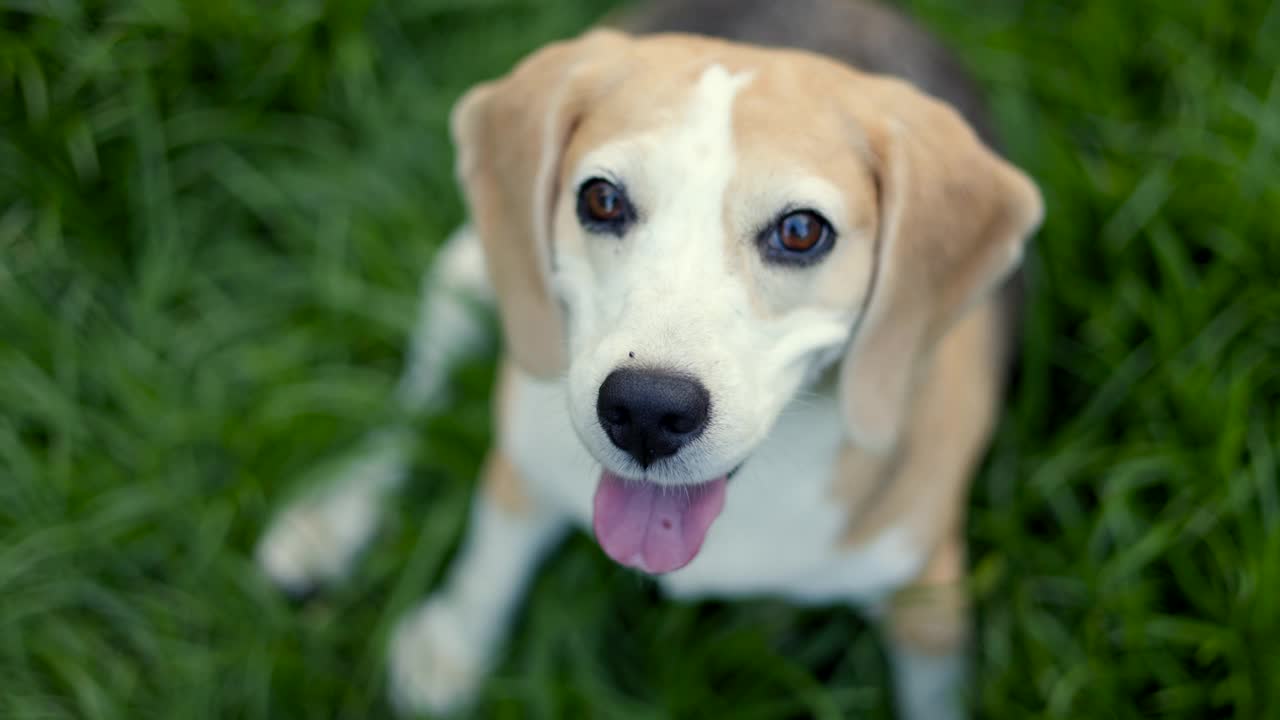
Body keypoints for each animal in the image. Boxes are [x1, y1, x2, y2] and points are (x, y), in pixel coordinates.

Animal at [254, 2, 1044, 712]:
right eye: (602, 200)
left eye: (800, 231)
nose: (645, 409)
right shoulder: (526, 453)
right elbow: (492, 554)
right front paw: (452, 643)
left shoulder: (931, 597)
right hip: (467, 274)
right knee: (410, 407)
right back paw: (330, 519)